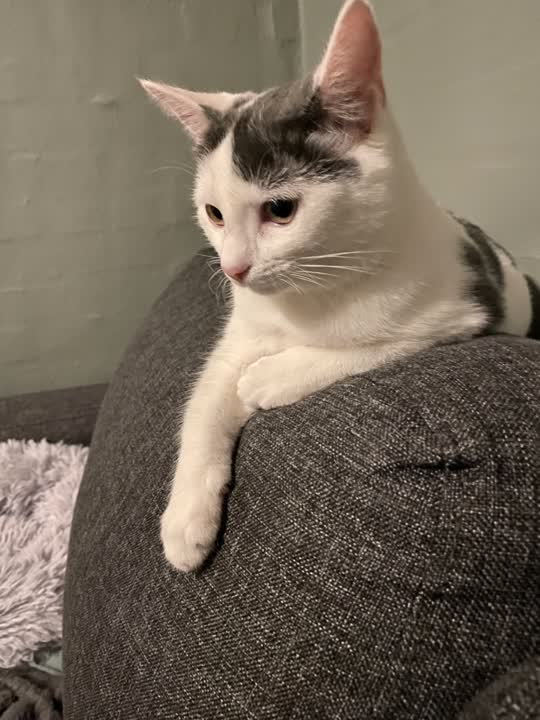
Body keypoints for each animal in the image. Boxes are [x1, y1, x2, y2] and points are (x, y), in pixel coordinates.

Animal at [140, 0, 540, 572]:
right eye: (213, 213)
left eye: (280, 209)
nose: (234, 269)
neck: (314, 289)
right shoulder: (242, 332)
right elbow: (206, 399)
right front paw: (185, 521)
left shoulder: (462, 311)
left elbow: (378, 344)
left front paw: (271, 376)